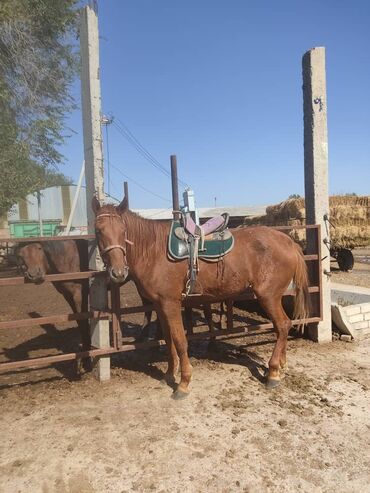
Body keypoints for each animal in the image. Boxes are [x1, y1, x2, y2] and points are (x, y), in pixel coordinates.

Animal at [92, 194, 310, 398]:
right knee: (283, 326)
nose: (118, 272)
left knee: (283, 325)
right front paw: (169, 374)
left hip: (268, 296)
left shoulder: (171, 304)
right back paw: (280, 366)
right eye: (98, 230)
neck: (153, 251)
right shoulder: (160, 306)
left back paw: (272, 373)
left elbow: (180, 340)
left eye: (123, 231)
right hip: (273, 297)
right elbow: (168, 340)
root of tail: (290, 243)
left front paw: (183, 383)